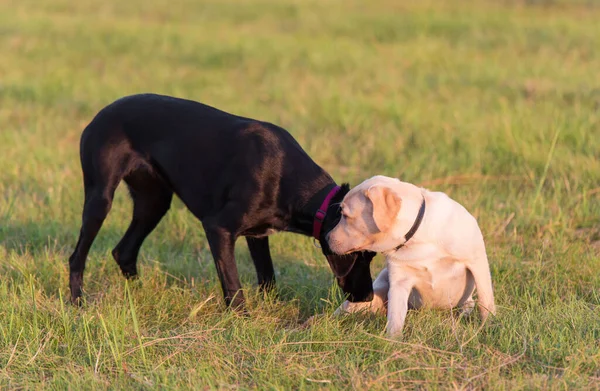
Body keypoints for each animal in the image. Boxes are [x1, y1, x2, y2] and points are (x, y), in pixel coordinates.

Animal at [68, 95, 372, 310]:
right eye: (361, 257)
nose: (369, 296)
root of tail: (98, 116)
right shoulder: (218, 228)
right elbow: (233, 286)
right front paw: (242, 320)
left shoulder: (257, 236)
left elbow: (268, 277)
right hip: (100, 198)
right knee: (77, 256)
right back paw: (77, 303)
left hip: (153, 202)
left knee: (125, 251)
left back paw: (140, 295)